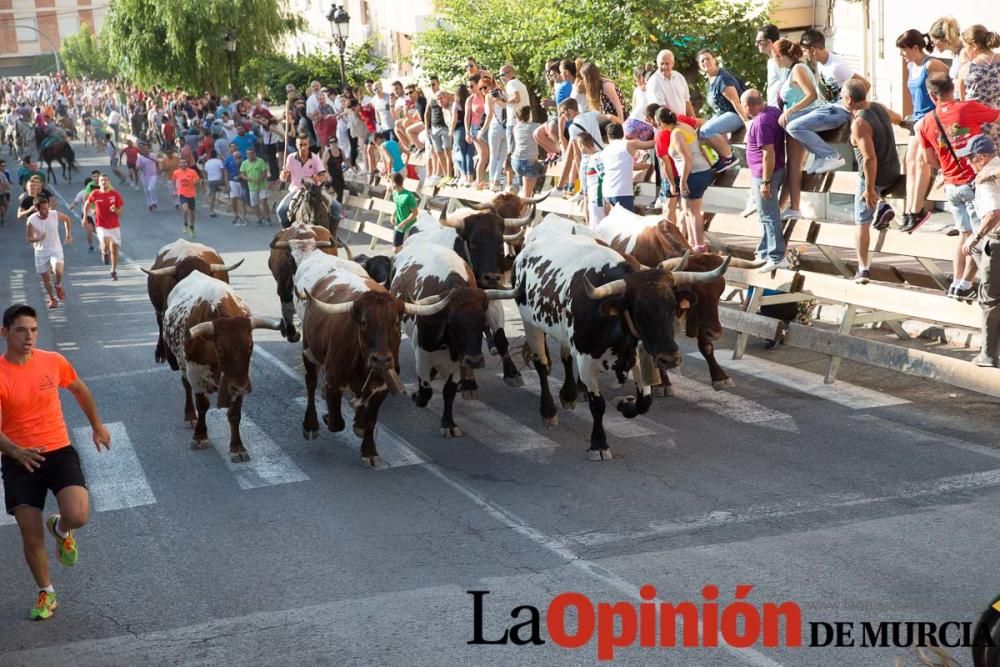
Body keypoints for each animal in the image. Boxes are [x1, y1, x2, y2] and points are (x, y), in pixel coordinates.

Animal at [163, 270, 282, 460]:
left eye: (251, 345)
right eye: (219, 349)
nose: (241, 387)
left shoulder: (239, 379)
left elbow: (234, 413)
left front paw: (237, 447)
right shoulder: (195, 373)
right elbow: (202, 405)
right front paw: (200, 436)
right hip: (182, 363)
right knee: (186, 385)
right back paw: (190, 416)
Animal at [294, 258, 452, 468]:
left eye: (396, 322)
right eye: (363, 323)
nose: (381, 359)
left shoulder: (382, 388)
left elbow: (370, 421)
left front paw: (369, 450)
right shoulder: (332, 383)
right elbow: (336, 423)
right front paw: (328, 417)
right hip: (309, 352)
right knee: (310, 384)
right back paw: (310, 426)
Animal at [390, 240, 516, 438]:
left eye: (483, 323)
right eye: (452, 325)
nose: (475, 361)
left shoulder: (458, 360)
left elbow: (448, 392)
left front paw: (448, 423)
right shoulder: (422, 356)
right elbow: (425, 391)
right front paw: (417, 397)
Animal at [512, 222, 732, 462]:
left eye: (674, 307)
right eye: (639, 311)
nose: (670, 359)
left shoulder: (638, 356)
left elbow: (644, 401)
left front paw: (625, 404)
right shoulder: (586, 360)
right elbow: (597, 404)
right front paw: (599, 444)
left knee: (565, 354)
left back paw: (569, 394)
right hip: (530, 324)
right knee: (542, 366)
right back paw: (549, 411)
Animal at [592, 207, 764, 392]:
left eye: (721, 291)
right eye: (695, 290)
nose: (716, 333)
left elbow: (705, 345)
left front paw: (720, 377)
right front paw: (663, 382)